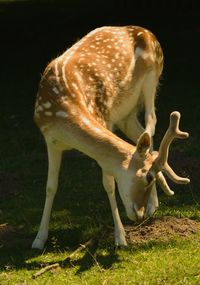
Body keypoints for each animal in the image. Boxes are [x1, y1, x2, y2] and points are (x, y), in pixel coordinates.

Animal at [32, 26, 190, 248]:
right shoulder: (51, 140)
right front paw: (39, 239)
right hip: (125, 116)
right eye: (147, 177)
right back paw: (155, 203)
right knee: (143, 138)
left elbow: (108, 184)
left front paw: (120, 238)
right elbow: (50, 187)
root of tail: (147, 31)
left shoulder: (104, 118)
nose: (139, 214)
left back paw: (153, 205)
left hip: (152, 77)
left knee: (151, 122)